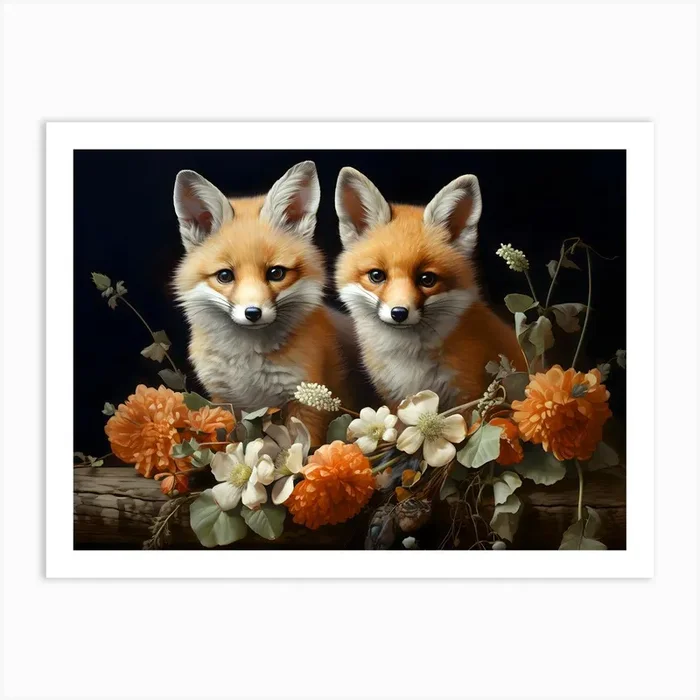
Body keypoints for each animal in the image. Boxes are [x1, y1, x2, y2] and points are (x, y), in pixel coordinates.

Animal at [173, 161, 347, 444]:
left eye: (276, 273)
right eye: (225, 276)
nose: (252, 312)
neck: (248, 368)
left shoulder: (306, 401)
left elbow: (305, 448)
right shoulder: (224, 402)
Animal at [334, 167, 524, 410]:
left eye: (427, 279)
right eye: (377, 275)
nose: (399, 313)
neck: (408, 361)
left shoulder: (467, 396)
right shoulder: (395, 401)